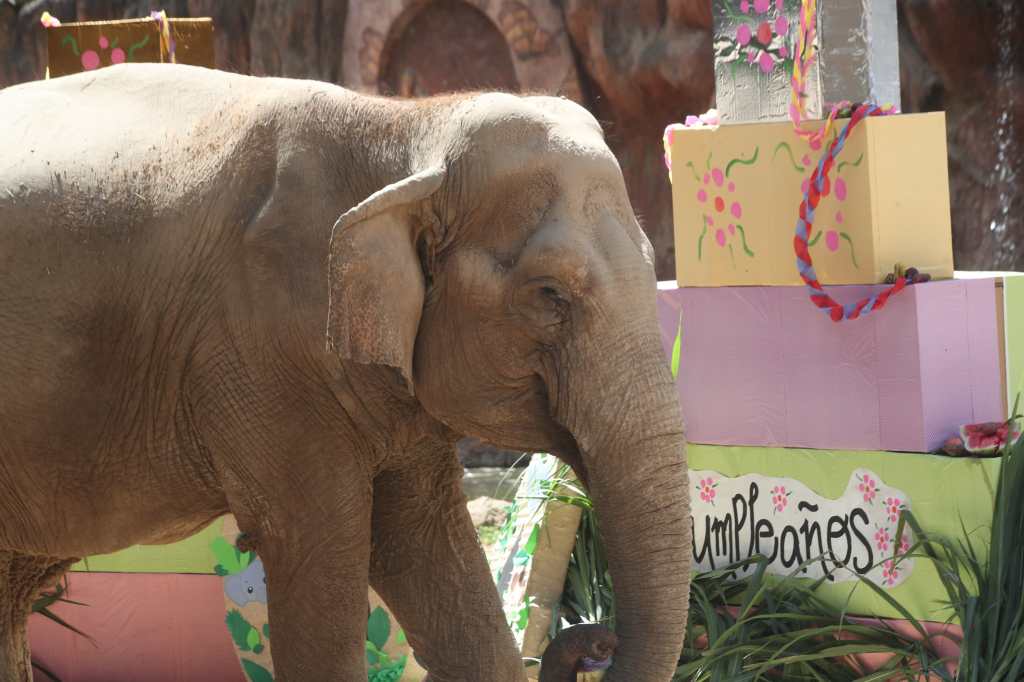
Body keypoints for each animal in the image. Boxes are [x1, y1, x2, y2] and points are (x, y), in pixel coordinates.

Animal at [0, 63, 691, 681]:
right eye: (550, 294)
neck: (407, 130)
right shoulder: (266, 349)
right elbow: (318, 560)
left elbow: (428, 555)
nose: (596, 640)